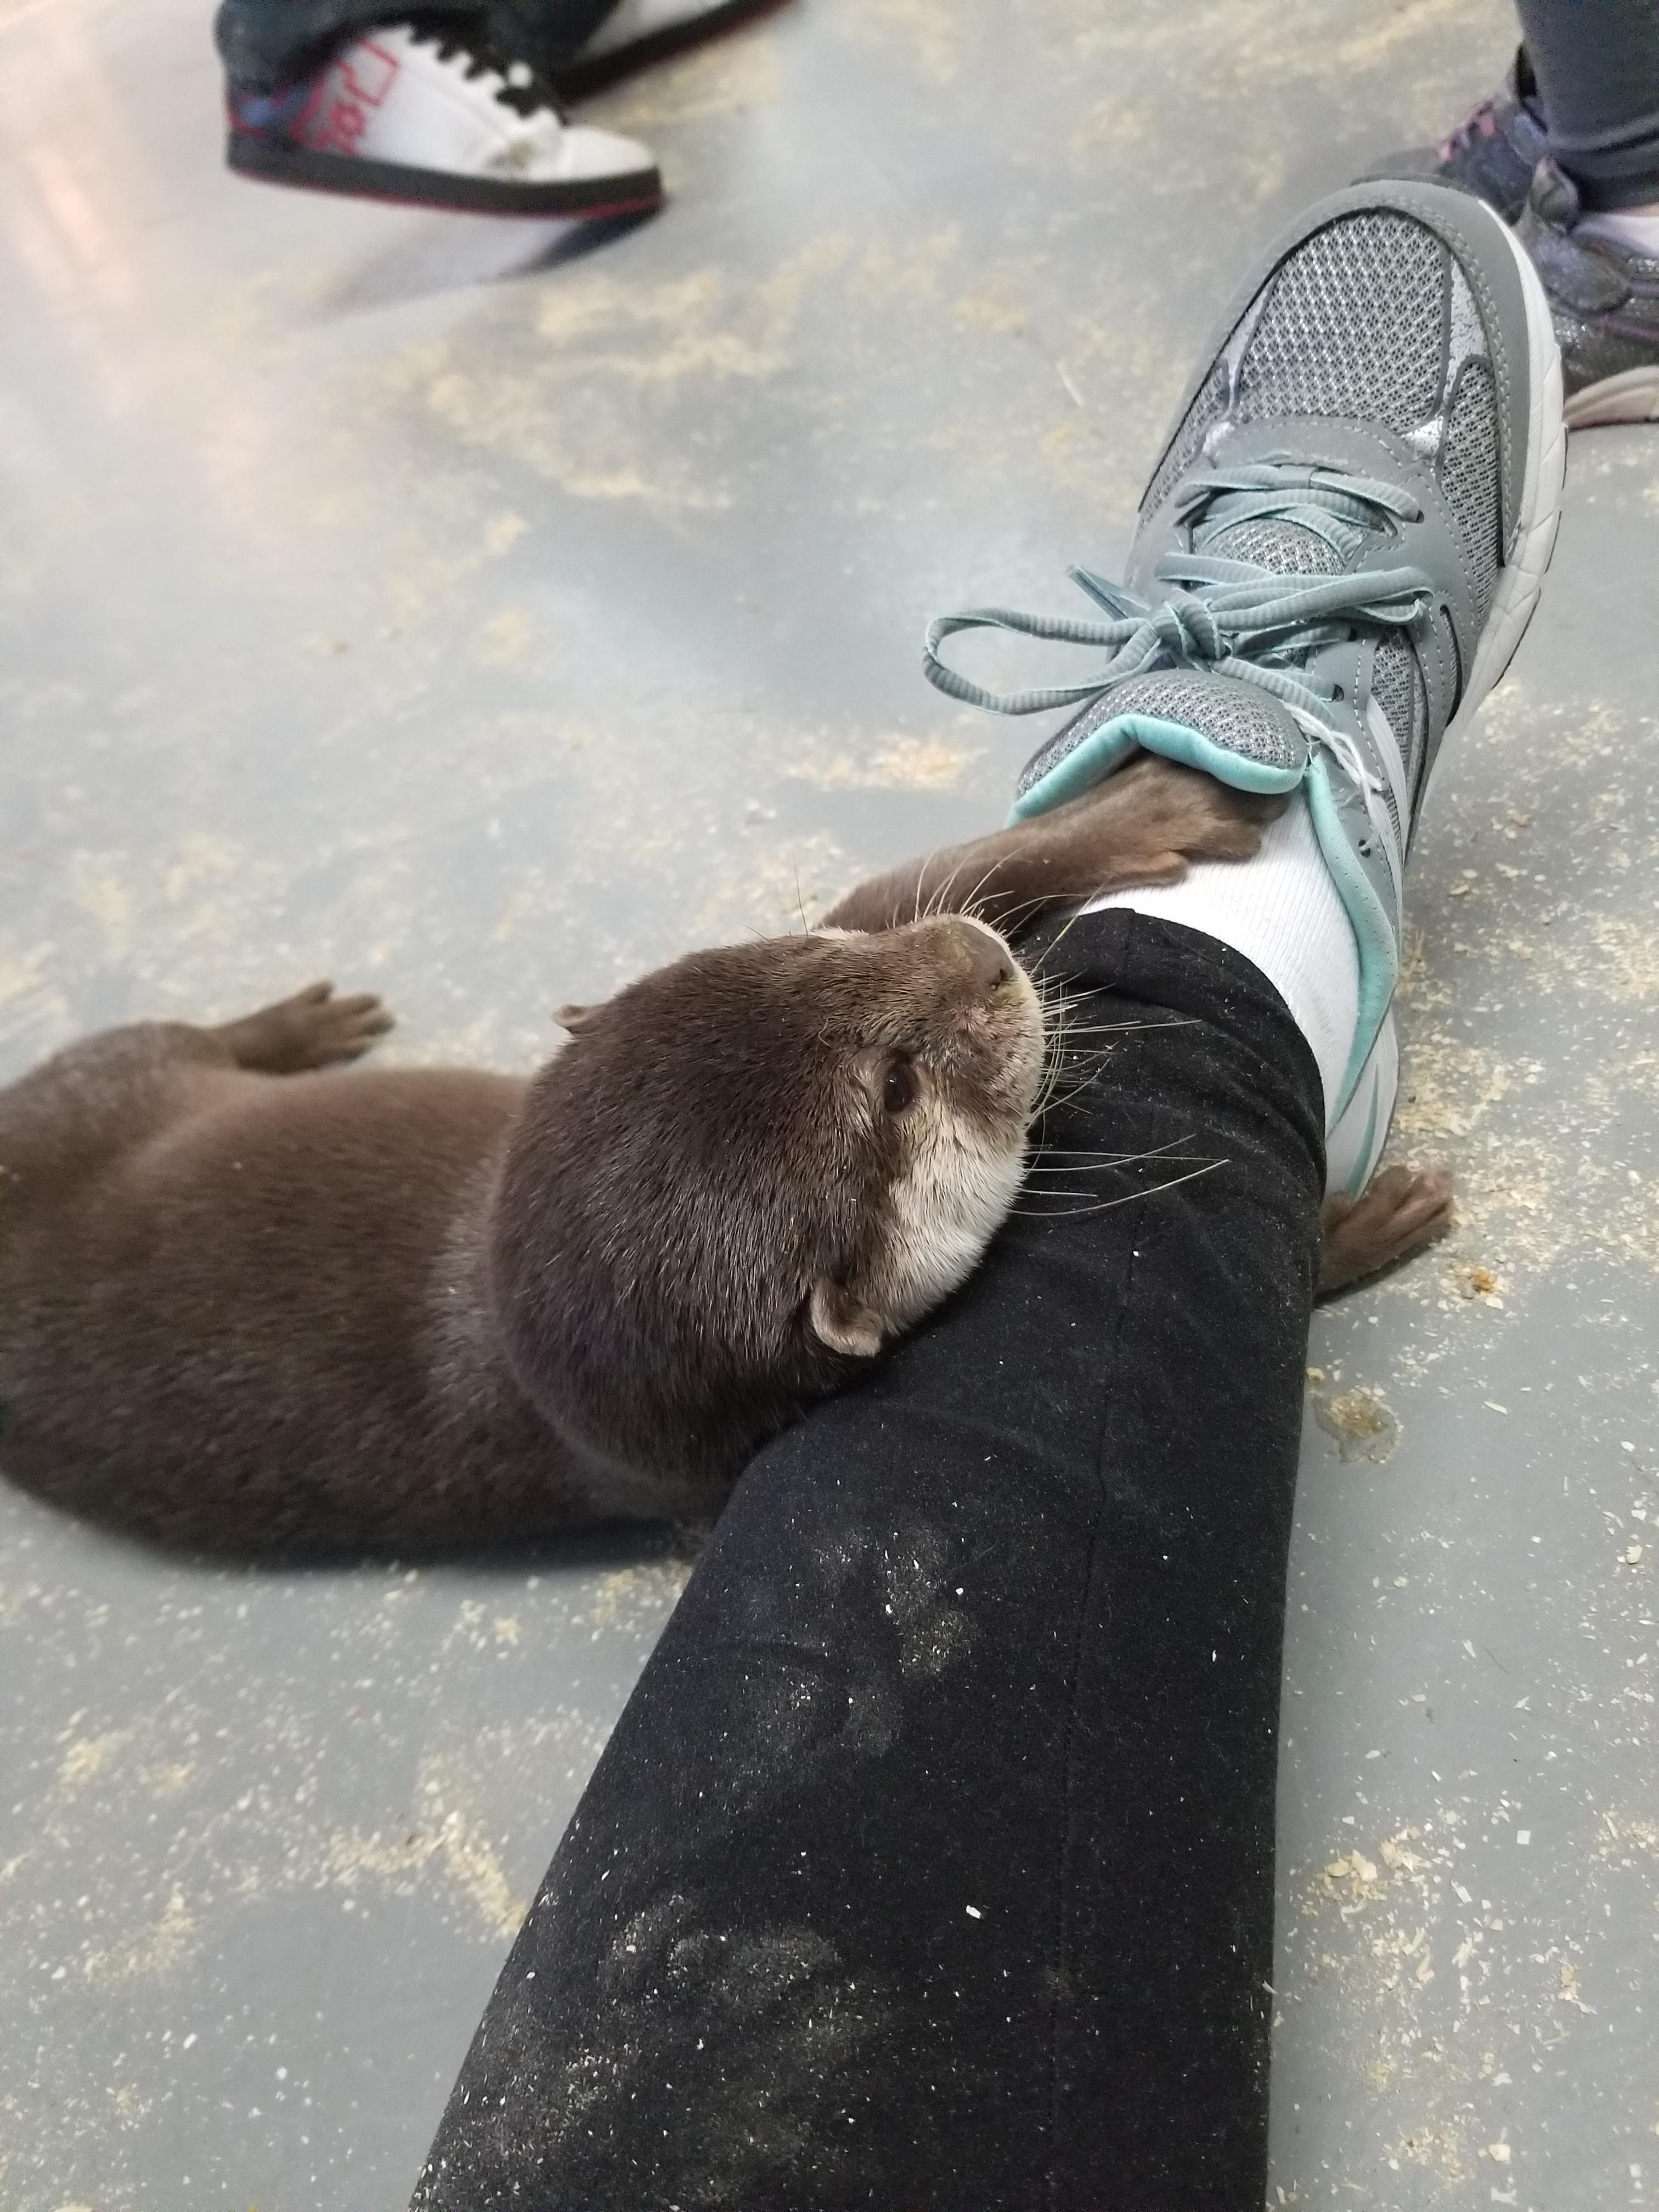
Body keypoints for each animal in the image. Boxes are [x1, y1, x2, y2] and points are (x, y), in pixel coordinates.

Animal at [0, 761, 1442, 1557]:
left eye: (805, 956)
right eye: (896, 1089)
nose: (981, 959)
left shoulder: (869, 911)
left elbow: (941, 867)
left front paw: (1141, 804)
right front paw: (1346, 1231)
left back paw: (300, 1031)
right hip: (96, 1087)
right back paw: (288, 1029)